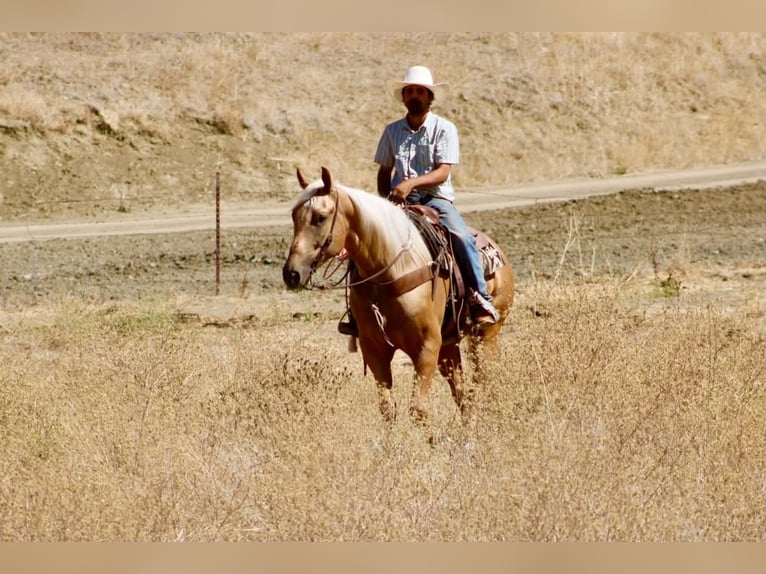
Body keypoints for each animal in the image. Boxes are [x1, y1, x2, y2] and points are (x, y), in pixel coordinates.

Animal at [282, 167, 514, 427]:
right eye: (294, 216)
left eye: (320, 217)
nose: (291, 274)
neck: (391, 270)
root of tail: (496, 249)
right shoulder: (374, 349)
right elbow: (387, 409)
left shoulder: (427, 347)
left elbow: (418, 410)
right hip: (449, 345)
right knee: (461, 391)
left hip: (485, 336)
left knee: (485, 380)